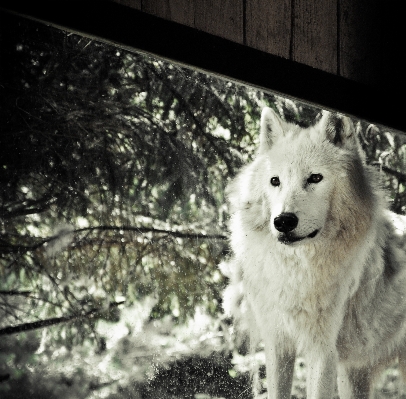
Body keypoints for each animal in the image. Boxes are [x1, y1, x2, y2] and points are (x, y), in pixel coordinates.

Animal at [222, 108, 406, 399]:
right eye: (275, 181)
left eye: (315, 178)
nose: (283, 221)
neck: (297, 270)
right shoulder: (278, 344)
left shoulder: (322, 351)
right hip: (354, 375)